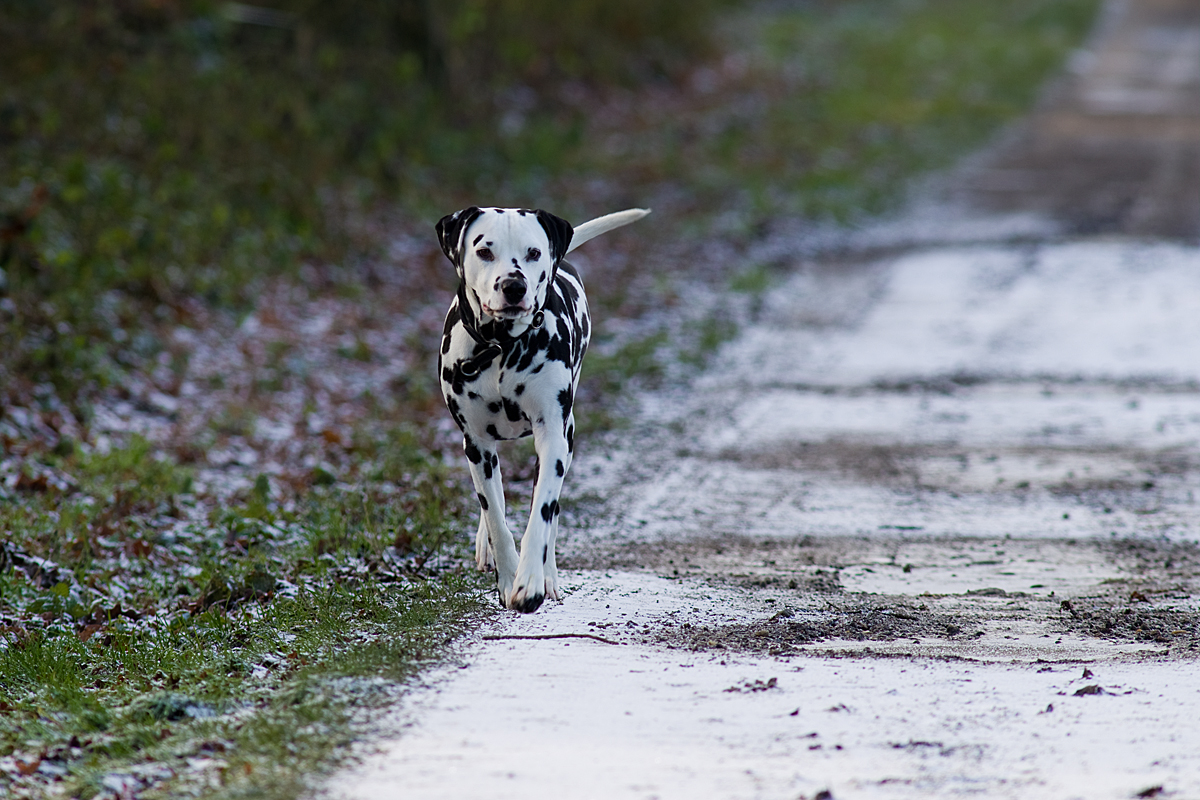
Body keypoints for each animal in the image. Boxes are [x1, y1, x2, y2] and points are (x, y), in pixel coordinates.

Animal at [439, 205, 648, 614]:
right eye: (484, 251)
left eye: (533, 252)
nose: (514, 287)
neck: (501, 347)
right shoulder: (476, 443)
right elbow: (496, 515)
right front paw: (507, 575)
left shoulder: (553, 437)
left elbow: (541, 512)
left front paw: (530, 581)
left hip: (566, 437)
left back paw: (547, 574)